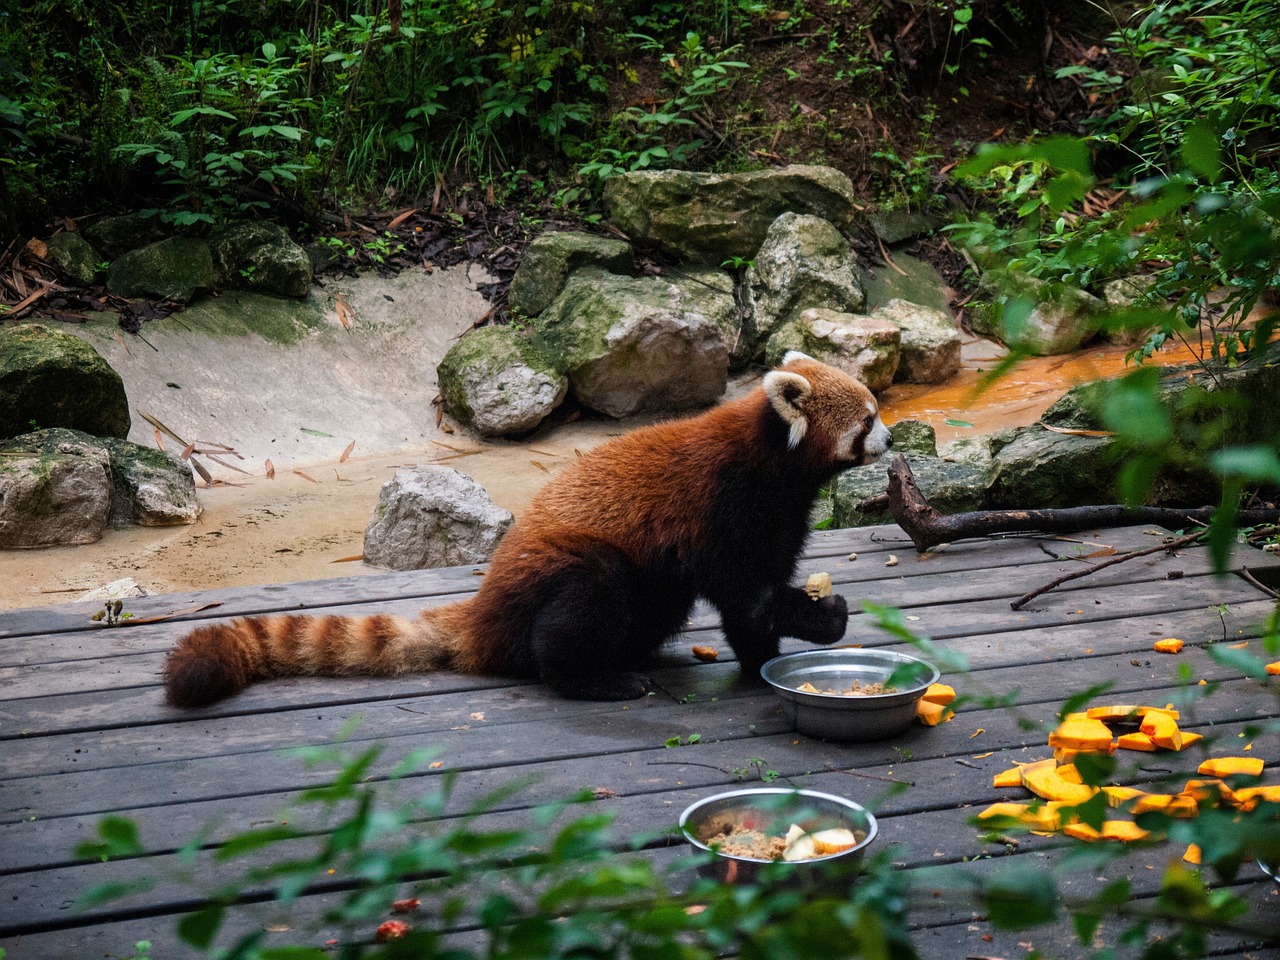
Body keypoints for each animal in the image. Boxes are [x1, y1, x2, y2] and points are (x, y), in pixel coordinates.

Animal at [162, 353, 890, 706]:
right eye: (868, 417)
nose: (889, 439)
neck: (775, 460)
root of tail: (485, 608)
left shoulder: (777, 516)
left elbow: (752, 604)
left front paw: (766, 662)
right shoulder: (726, 505)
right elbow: (747, 592)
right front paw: (824, 617)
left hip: (650, 594)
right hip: (567, 567)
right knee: (582, 605)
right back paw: (592, 679)